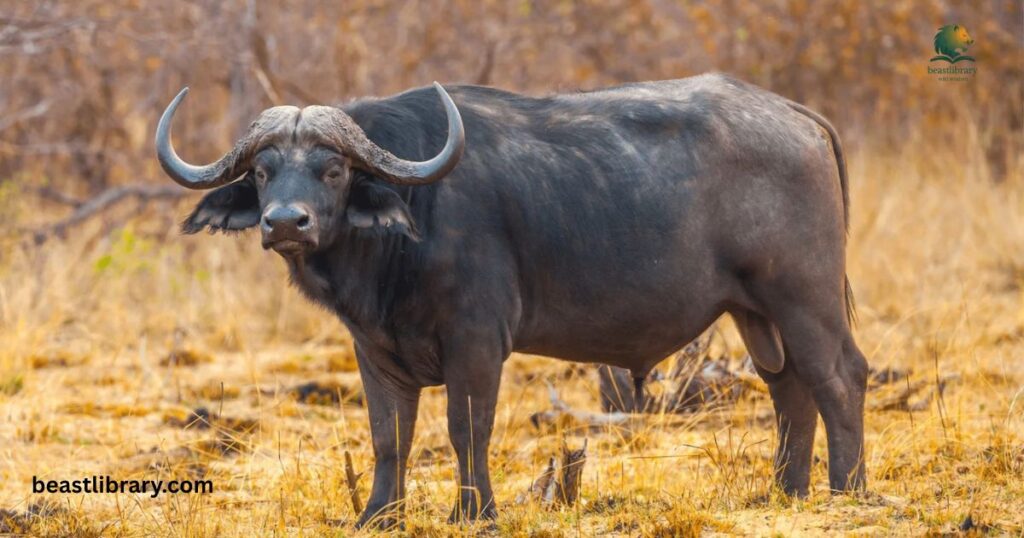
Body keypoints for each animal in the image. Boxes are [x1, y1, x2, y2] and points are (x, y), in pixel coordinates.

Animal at [155, 73, 868, 526]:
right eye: (262, 171)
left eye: (332, 169)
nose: (285, 223)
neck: (412, 223)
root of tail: (799, 117)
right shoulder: (375, 351)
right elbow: (390, 436)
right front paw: (378, 516)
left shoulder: (476, 341)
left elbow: (466, 427)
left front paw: (473, 512)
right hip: (756, 313)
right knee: (789, 387)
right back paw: (786, 493)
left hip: (803, 297)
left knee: (840, 377)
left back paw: (847, 491)